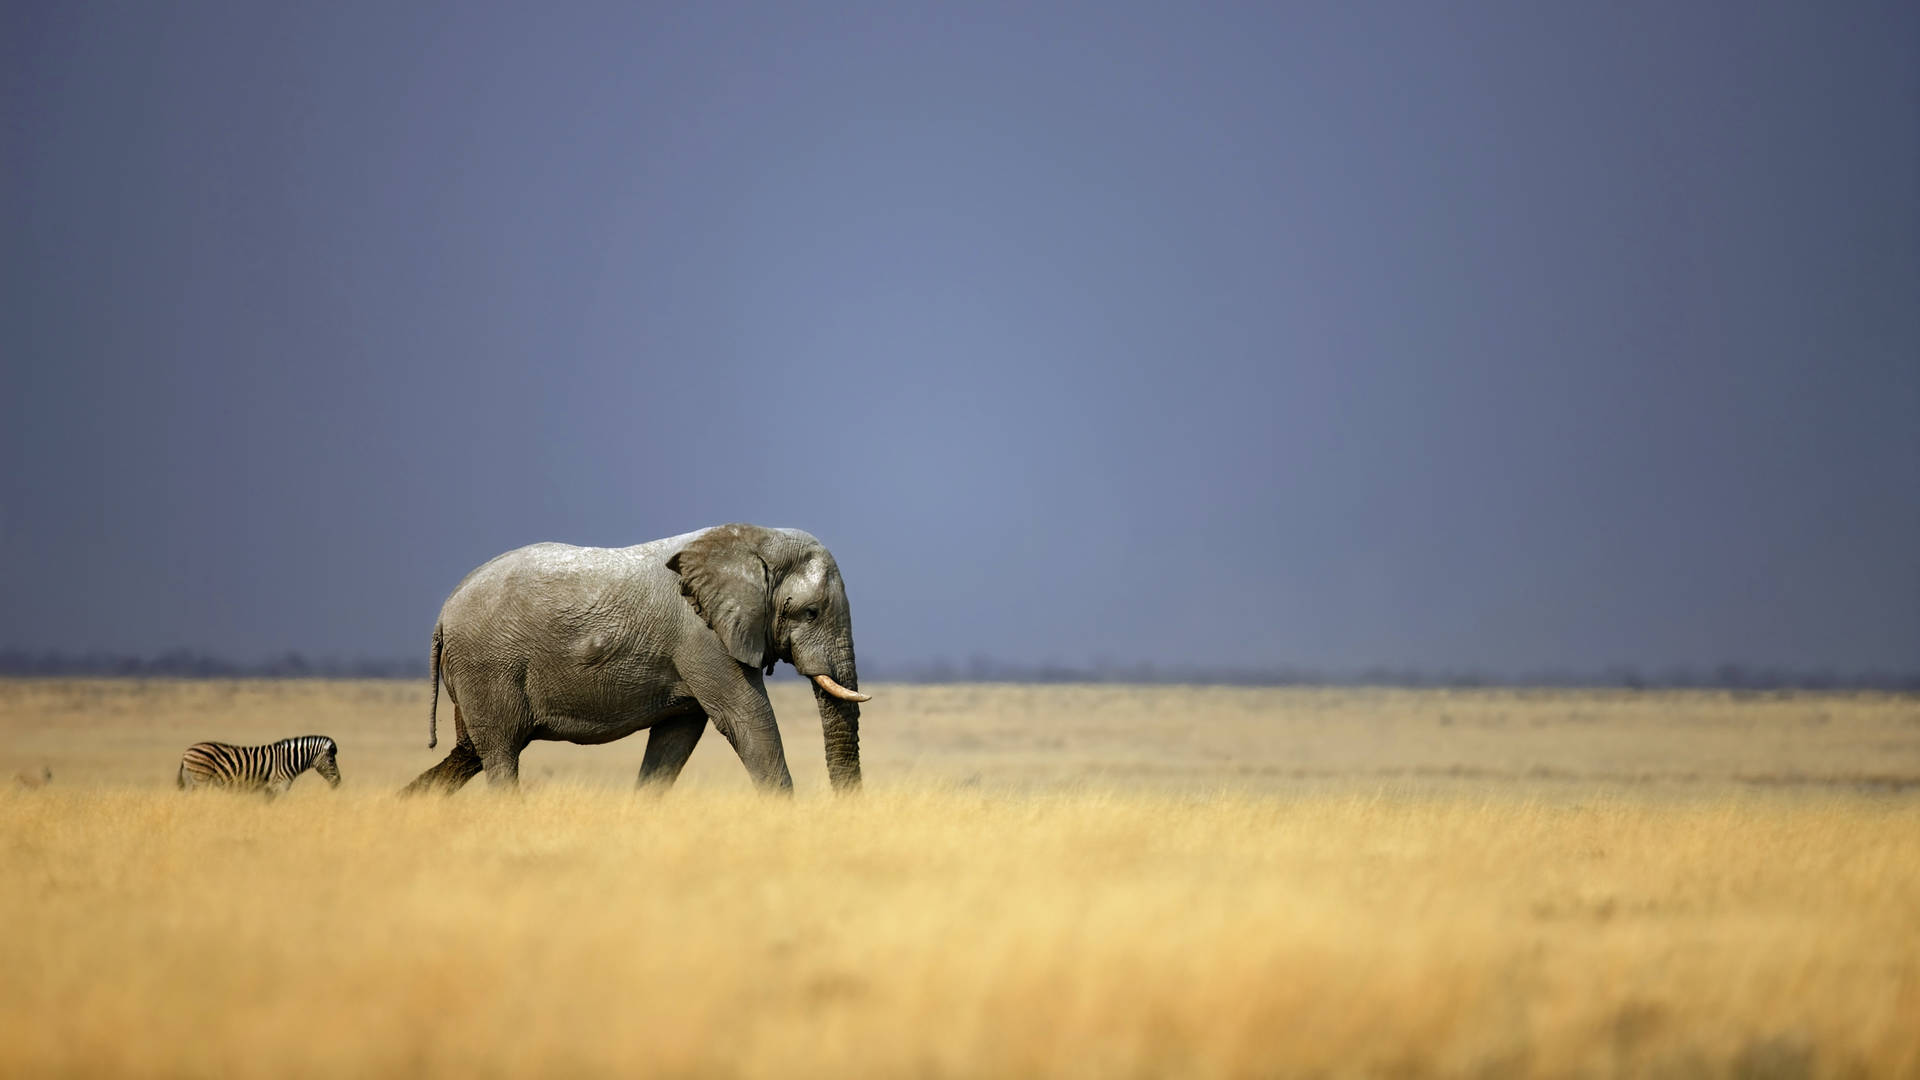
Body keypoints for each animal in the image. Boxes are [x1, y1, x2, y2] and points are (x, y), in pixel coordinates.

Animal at [176, 736, 342, 798]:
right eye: (331, 761)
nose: (338, 782)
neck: (288, 760)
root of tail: (187, 751)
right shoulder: (279, 786)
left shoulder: (270, 790)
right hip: (201, 780)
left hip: (192, 782)